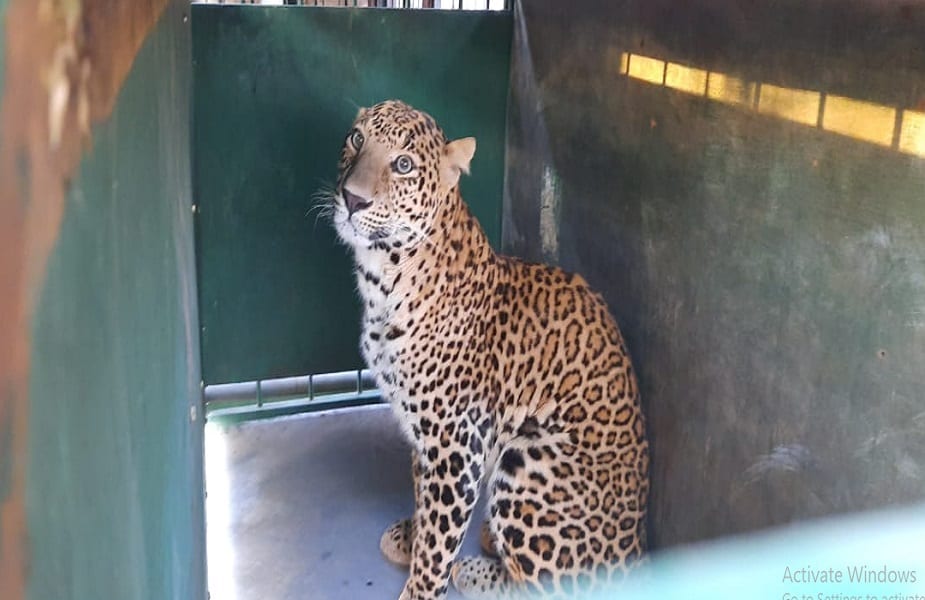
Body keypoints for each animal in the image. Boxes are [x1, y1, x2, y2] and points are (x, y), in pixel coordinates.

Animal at [327, 100, 649, 599]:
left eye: (403, 165)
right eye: (357, 138)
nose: (352, 199)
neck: (382, 279)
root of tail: (639, 559)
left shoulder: (456, 443)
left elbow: (439, 540)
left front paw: (422, 583)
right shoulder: (424, 434)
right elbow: (424, 500)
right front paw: (412, 534)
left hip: (531, 459)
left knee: (549, 587)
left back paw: (476, 569)